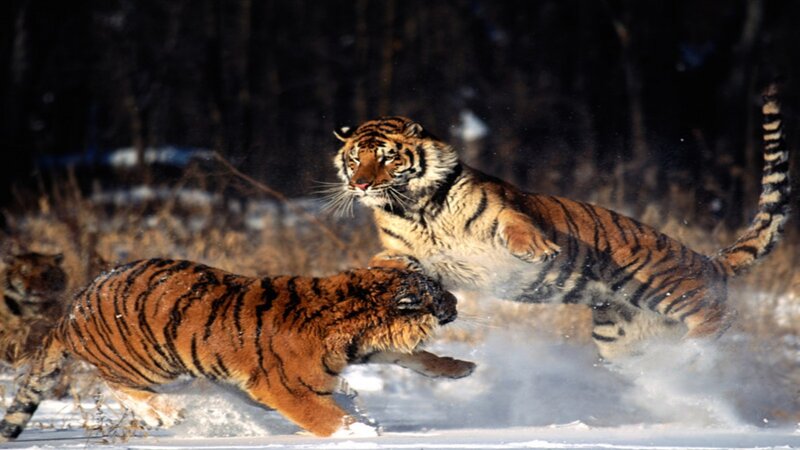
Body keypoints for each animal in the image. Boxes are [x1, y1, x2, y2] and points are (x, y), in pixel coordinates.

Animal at [0, 258, 459, 439]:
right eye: (438, 294)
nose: (457, 302)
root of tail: (71, 310)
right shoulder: (285, 387)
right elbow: (324, 417)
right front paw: (360, 433)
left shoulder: (363, 350)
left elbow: (414, 356)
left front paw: (459, 369)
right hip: (142, 363)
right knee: (115, 386)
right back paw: (166, 412)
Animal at [329, 84, 791, 362]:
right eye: (355, 159)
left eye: (387, 157)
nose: (360, 183)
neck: (415, 207)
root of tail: (709, 260)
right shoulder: (406, 250)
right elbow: (388, 261)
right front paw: (383, 278)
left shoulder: (503, 209)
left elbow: (516, 225)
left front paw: (538, 250)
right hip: (618, 337)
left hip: (659, 283)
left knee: (718, 316)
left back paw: (695, 351)